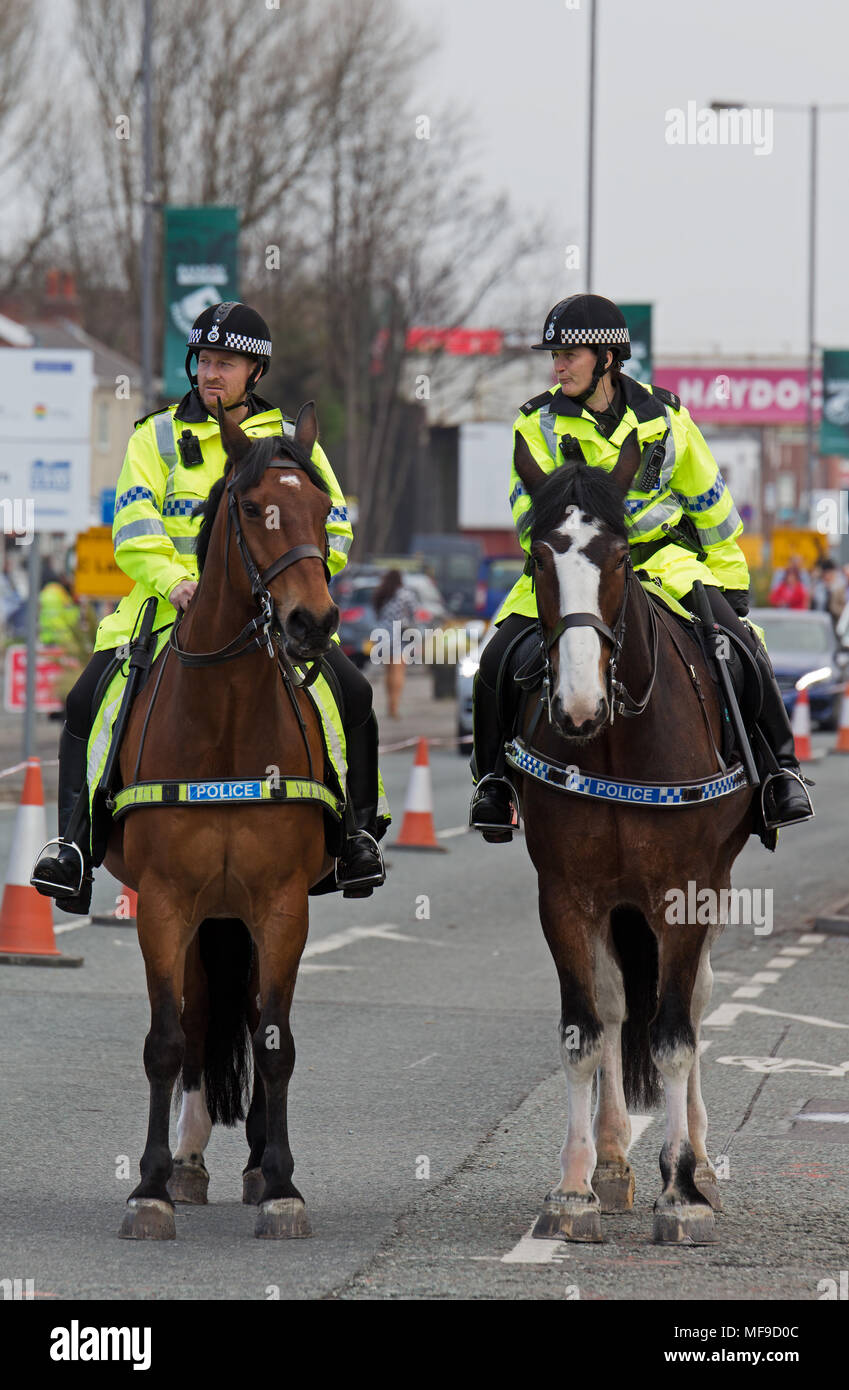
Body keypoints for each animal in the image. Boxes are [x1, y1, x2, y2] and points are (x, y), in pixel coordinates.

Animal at [508, 428, 755, 1245]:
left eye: (618, 557)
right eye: (537, 558)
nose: (578, 704)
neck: (615, 740)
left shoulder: (685, 892)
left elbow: (676, 1034)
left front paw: (681, 1192)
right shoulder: (565, 895)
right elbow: (586, 1032)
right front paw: (575, 1189)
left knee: (694, 1004)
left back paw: (699, 1165)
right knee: (619, 1008)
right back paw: (614, 1162)